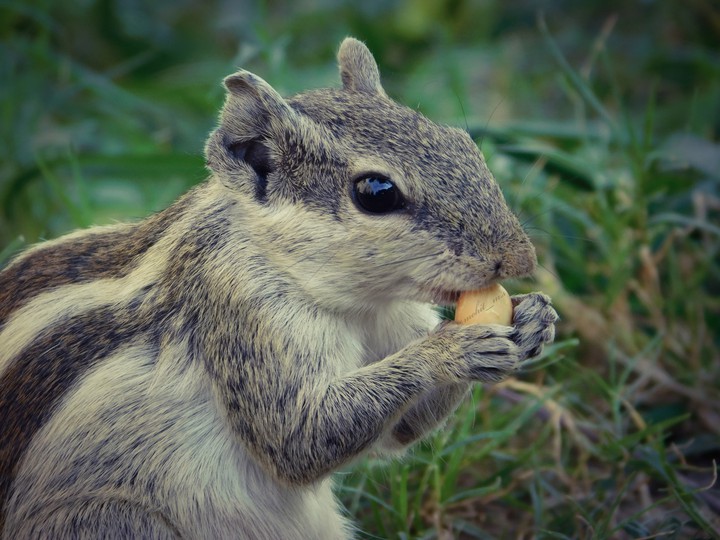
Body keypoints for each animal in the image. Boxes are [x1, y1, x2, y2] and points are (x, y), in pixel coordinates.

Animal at [0, 37, 557, 539]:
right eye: (376, 192)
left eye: (462, 143)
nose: (520, 259)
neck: (361, 305)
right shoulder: (244, 316)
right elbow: (297, 436)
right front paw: (450, 349)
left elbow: (400, 430)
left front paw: (536, 317)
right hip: (114, 521)